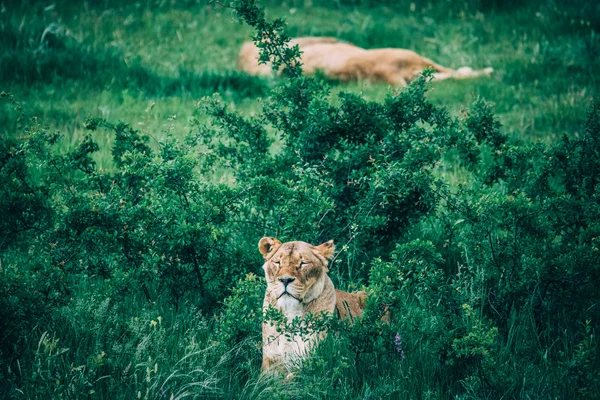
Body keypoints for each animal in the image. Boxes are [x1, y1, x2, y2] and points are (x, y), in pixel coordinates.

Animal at [258, 238, 366, 372]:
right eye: (277, 262)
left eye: (303, 263)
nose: (285, 280)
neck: (290, 312)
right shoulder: (271, 360)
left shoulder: (312, 361)